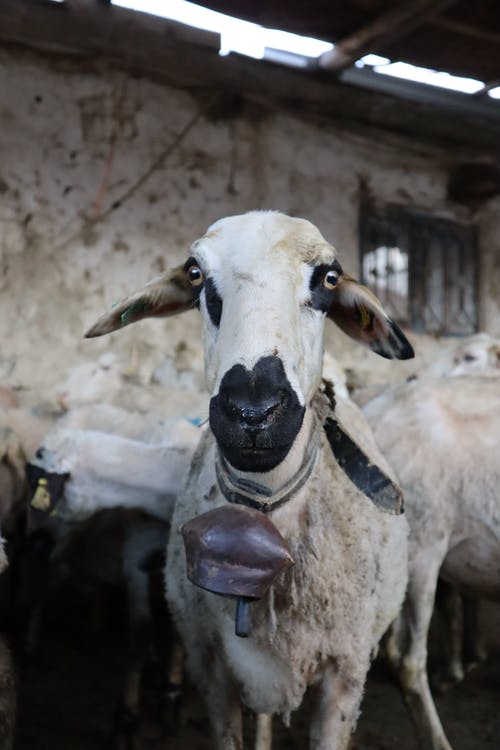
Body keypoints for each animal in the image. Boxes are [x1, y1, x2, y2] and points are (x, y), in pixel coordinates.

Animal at [86, 212, 414, 750]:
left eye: (329, 277)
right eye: (195, 273)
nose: (253, 413)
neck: (266, 511)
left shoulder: (344, 676)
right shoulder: (210, 667)